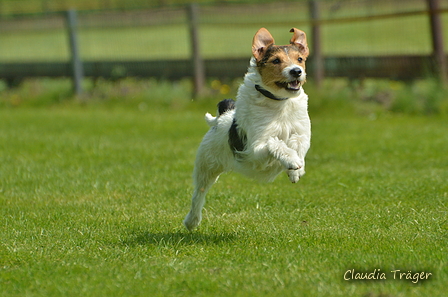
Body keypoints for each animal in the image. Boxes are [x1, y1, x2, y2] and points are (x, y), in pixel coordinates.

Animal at [184, 27, 310, 230]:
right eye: (276, 60)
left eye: (300, 59)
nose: (296, 71)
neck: (279, 103)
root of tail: (223, 116)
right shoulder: (255, 149)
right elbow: (275, 144)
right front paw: (291, 160)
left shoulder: (302, 132)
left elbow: (298, 142)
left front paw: (296, 170)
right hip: (206, 166)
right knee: (199, 194)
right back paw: (191, 221)